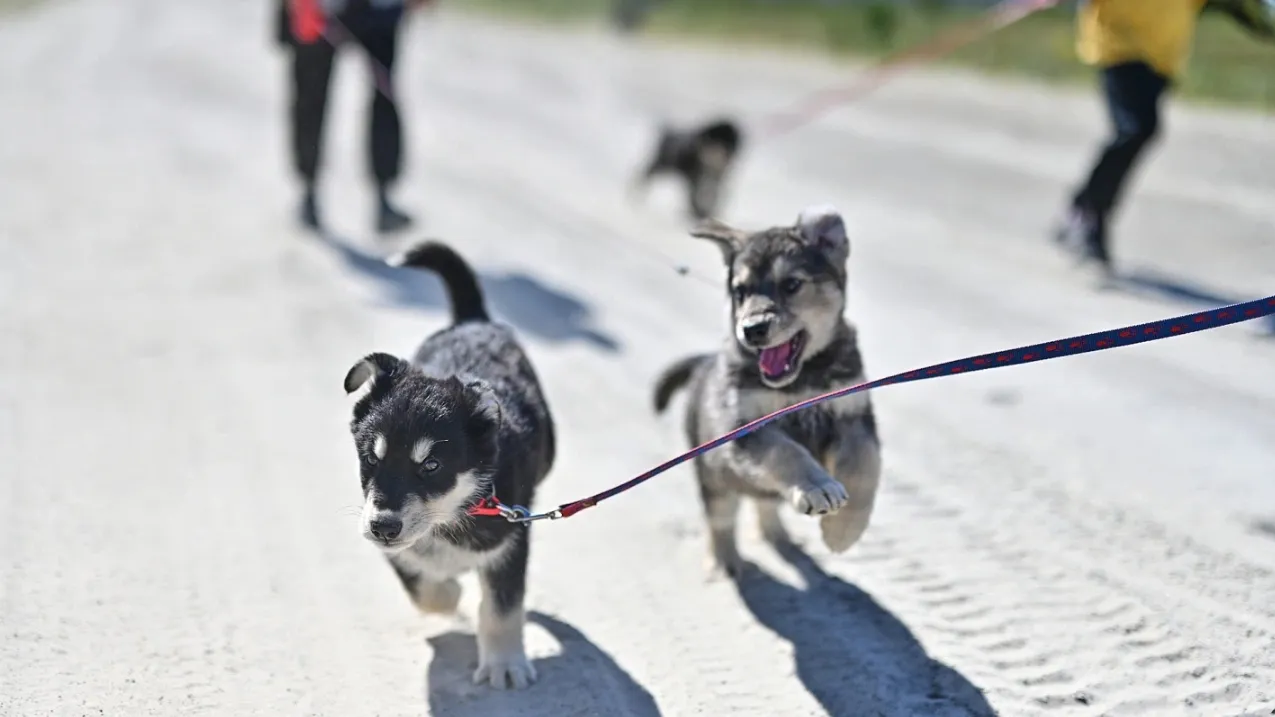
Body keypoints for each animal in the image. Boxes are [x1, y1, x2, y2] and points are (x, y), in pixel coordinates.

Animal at [341, 238, 555, 688]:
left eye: (432, 466)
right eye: (371, 457)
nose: (384, 527)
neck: (451, 516)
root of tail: (472, 320)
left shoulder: (511, 539)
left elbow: (502, 607)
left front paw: (504, 664)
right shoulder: (385, 535)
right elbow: (425, 589)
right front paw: (450, 592)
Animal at [652, 206, 882, 574]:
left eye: (791, 284)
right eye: (740, 291)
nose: (752, 330)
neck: (802, 382)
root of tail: (704, 365)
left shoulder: (854, 416)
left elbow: (865, 467)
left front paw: (842, 531)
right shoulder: (746, 430)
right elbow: (786, 452)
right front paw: (818, 487)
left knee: (766, 501)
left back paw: (779, 537)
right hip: (713, 475)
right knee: (721, 517)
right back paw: (724, 562)